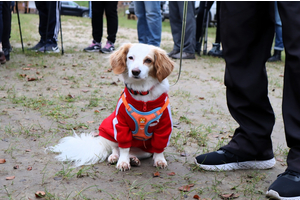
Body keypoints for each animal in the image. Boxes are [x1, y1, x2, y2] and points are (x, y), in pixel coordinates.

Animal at [45, 43, 175, 171]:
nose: (135, 71)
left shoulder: (164, 127)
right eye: (130, 57)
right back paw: (115, 157)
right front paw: (123, 162)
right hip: (109, 132)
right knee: (116, 149)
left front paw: (159, 160)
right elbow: (124, 148)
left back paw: (134, 159)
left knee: (134, 152)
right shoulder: (121, 124)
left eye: (148, 60)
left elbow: (159, 147)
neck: (142, 93)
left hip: (145, 149)